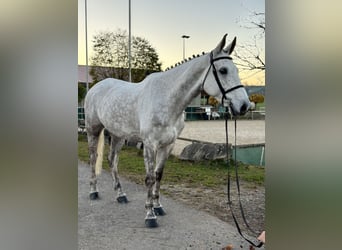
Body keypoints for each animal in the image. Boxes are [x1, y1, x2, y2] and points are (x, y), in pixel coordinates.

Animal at [84, 34, 250, 228]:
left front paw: (158, 207)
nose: (244, 106)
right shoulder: (150, 144)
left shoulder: (167, 145)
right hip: (93, 130)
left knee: (112, 160)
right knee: (93, 158)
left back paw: (120, 195)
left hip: (118, 135)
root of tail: (95, 88)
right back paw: (93, 192)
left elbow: (158, 175)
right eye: (223, 70)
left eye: (236, 70)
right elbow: (149, 178)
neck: (167, 99)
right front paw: (150, 215)